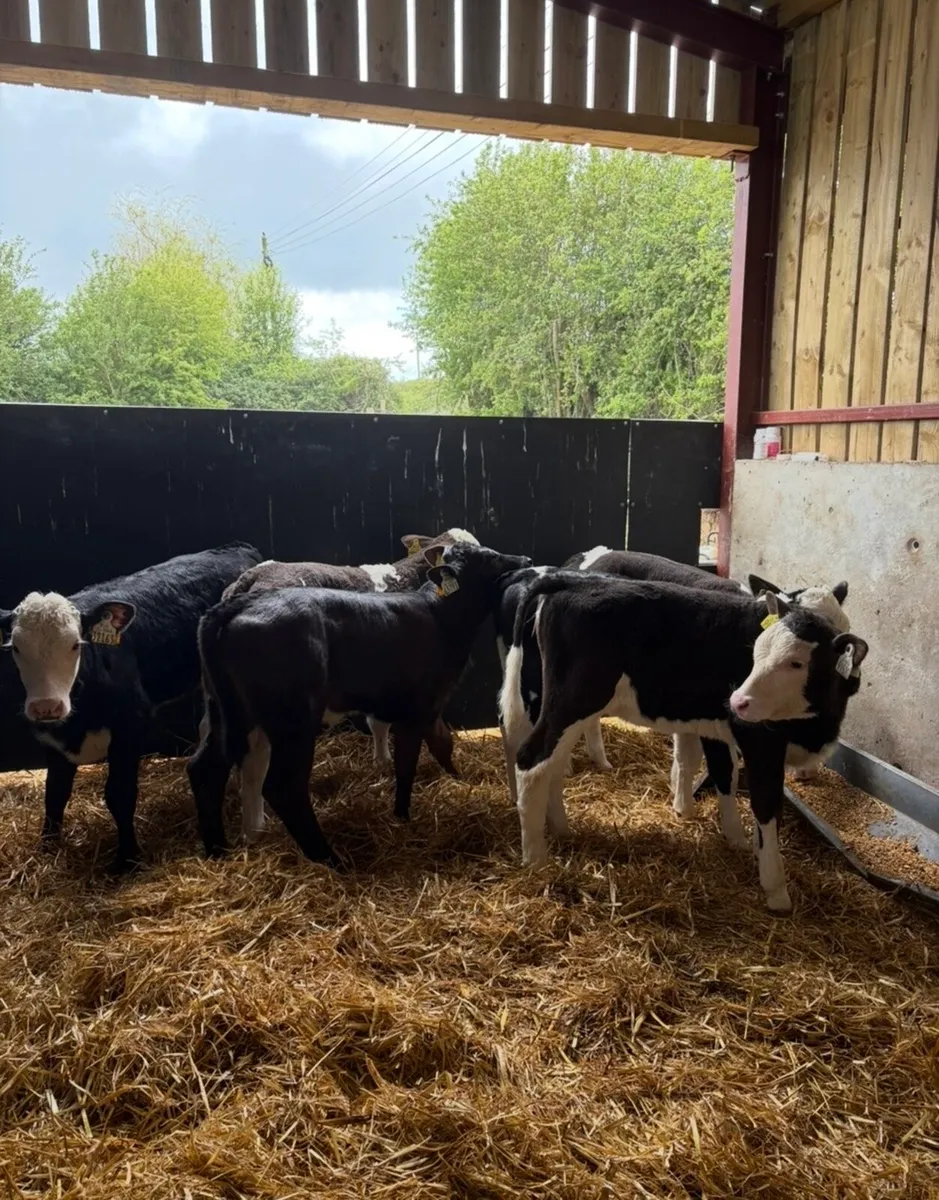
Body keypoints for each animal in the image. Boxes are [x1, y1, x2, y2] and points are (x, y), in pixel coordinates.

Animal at [0, 543, 262, 873]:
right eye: (15, 648)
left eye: (75, 644)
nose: (47, 706)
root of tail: (237, 547)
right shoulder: (53, 739)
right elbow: (55, 794)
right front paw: (47, 849)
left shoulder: (130, 726)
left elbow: (119, 794)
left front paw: (128, 859)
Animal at [187, 541, 532, 865]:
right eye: (488, 557)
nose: (525, 559)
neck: (439, 614)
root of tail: (236, 604)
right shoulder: (416, 708)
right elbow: (407, 762)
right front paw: (403, 815)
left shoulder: (430, 707)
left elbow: (441, 743)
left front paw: (457, 780)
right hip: (293, 719)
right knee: (284, 785)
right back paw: (329, 859)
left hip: (225, 712)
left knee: (205, 768)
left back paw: (218, 850)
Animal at [502, 573, 867, 912]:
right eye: (758, 652)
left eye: (796, 662)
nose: (736, 700)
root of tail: (568, 580)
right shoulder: (761, 742)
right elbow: (766, 807)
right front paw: (776, 890)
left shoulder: (719, 730)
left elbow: (725, 777)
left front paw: (740, 841)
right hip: (573, 701)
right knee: (532, 760)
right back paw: (536, 860)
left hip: (557, 706)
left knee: (552, 766)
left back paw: (561, 829)